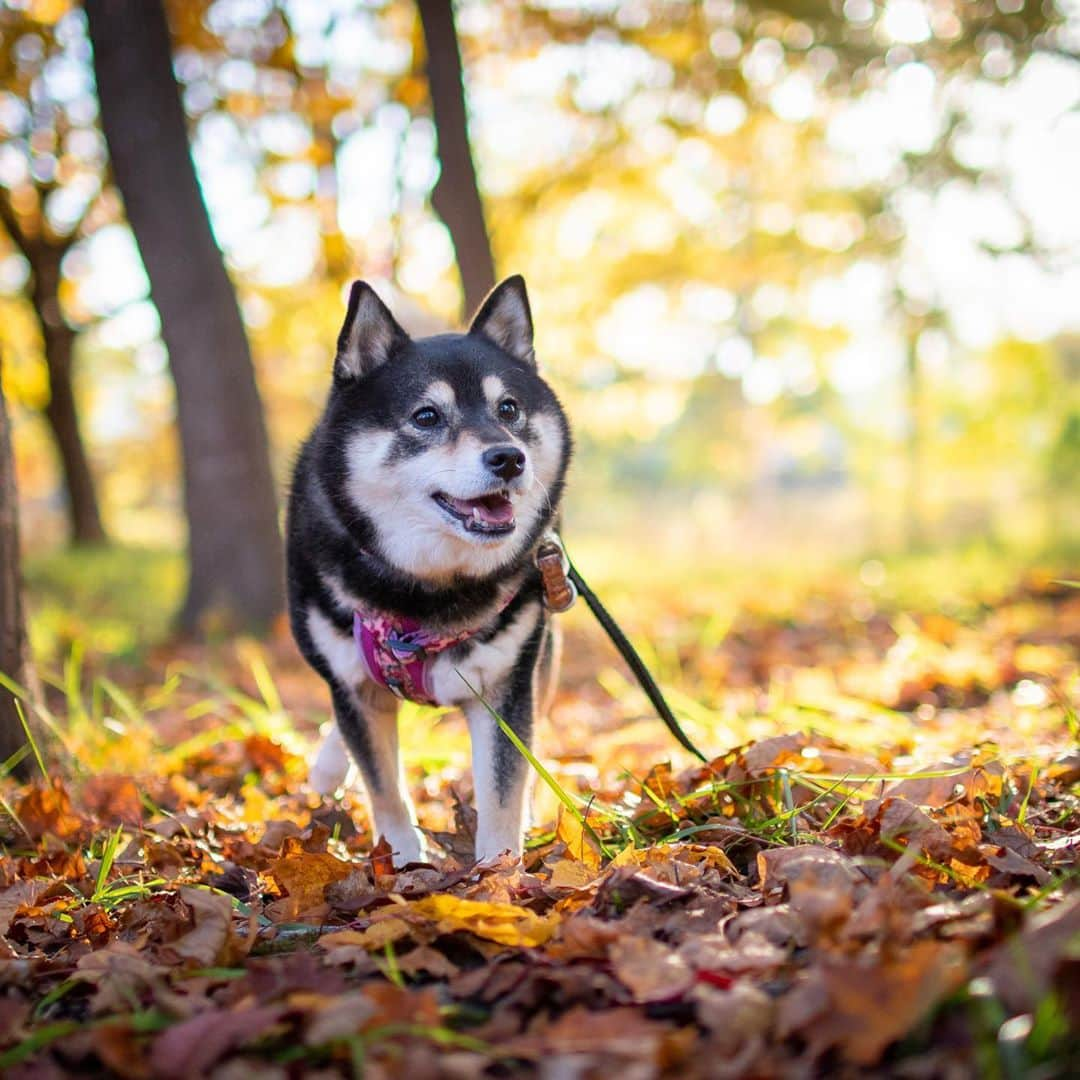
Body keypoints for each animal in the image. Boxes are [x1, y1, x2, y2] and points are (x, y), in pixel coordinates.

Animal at [287, 274, 574, 864]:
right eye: (426, 416)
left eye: (508, 408)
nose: (509, 458)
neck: (428, 589)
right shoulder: (355, 688)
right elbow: (385, 788)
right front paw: (402, 863)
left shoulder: (506, 686)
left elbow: (504, 788)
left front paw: (499, 870)